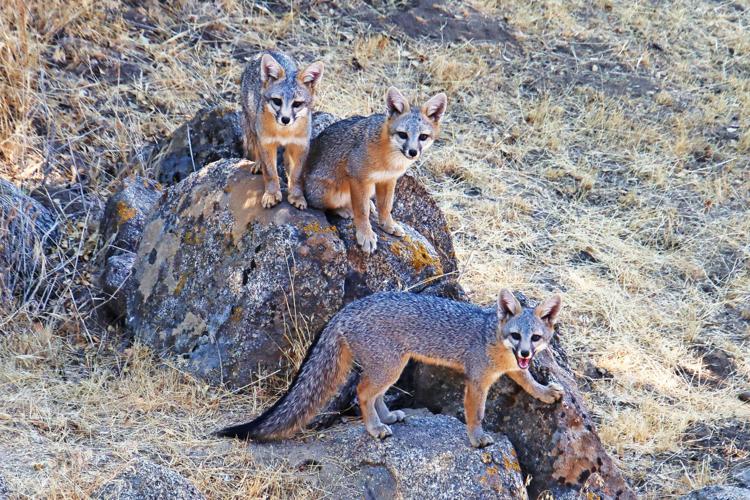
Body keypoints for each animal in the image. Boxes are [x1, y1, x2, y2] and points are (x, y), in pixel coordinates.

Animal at [216, 289, 564, 448]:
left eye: (535, 338)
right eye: (516, 335)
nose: (525, 351)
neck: (492, 338)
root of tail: (346, 309)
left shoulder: (514, 368)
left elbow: (528, 380)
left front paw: (546, 392)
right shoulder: (477, 381)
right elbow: (475, 413)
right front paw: (477, 438)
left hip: (394, 365)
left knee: (375, 394)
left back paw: (385, 417)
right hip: (390, 367)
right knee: (361, 392)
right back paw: (374, 428)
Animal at [240, 50, 324, 209]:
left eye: (297, 104)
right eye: (277, 101)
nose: (285, 119)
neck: (284, 133)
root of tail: (267, 50)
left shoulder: (300, 146)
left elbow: (297, 174)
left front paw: (296, 195)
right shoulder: (266, 144)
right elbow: (270, 172)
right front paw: (272, 194)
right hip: (252, 127)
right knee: (257, 148)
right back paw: (258, 164)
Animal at [302, 87, 447, 253]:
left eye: (423, 137)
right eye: (403, 135)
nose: (412, 152)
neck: (390, 160)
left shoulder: (388, 179)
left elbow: (386, 206)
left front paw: (388, 225)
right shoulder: (359, 178)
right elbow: (362, 211)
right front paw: (365, 234)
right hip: (331, 194)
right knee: (323, 205)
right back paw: (344, 209)